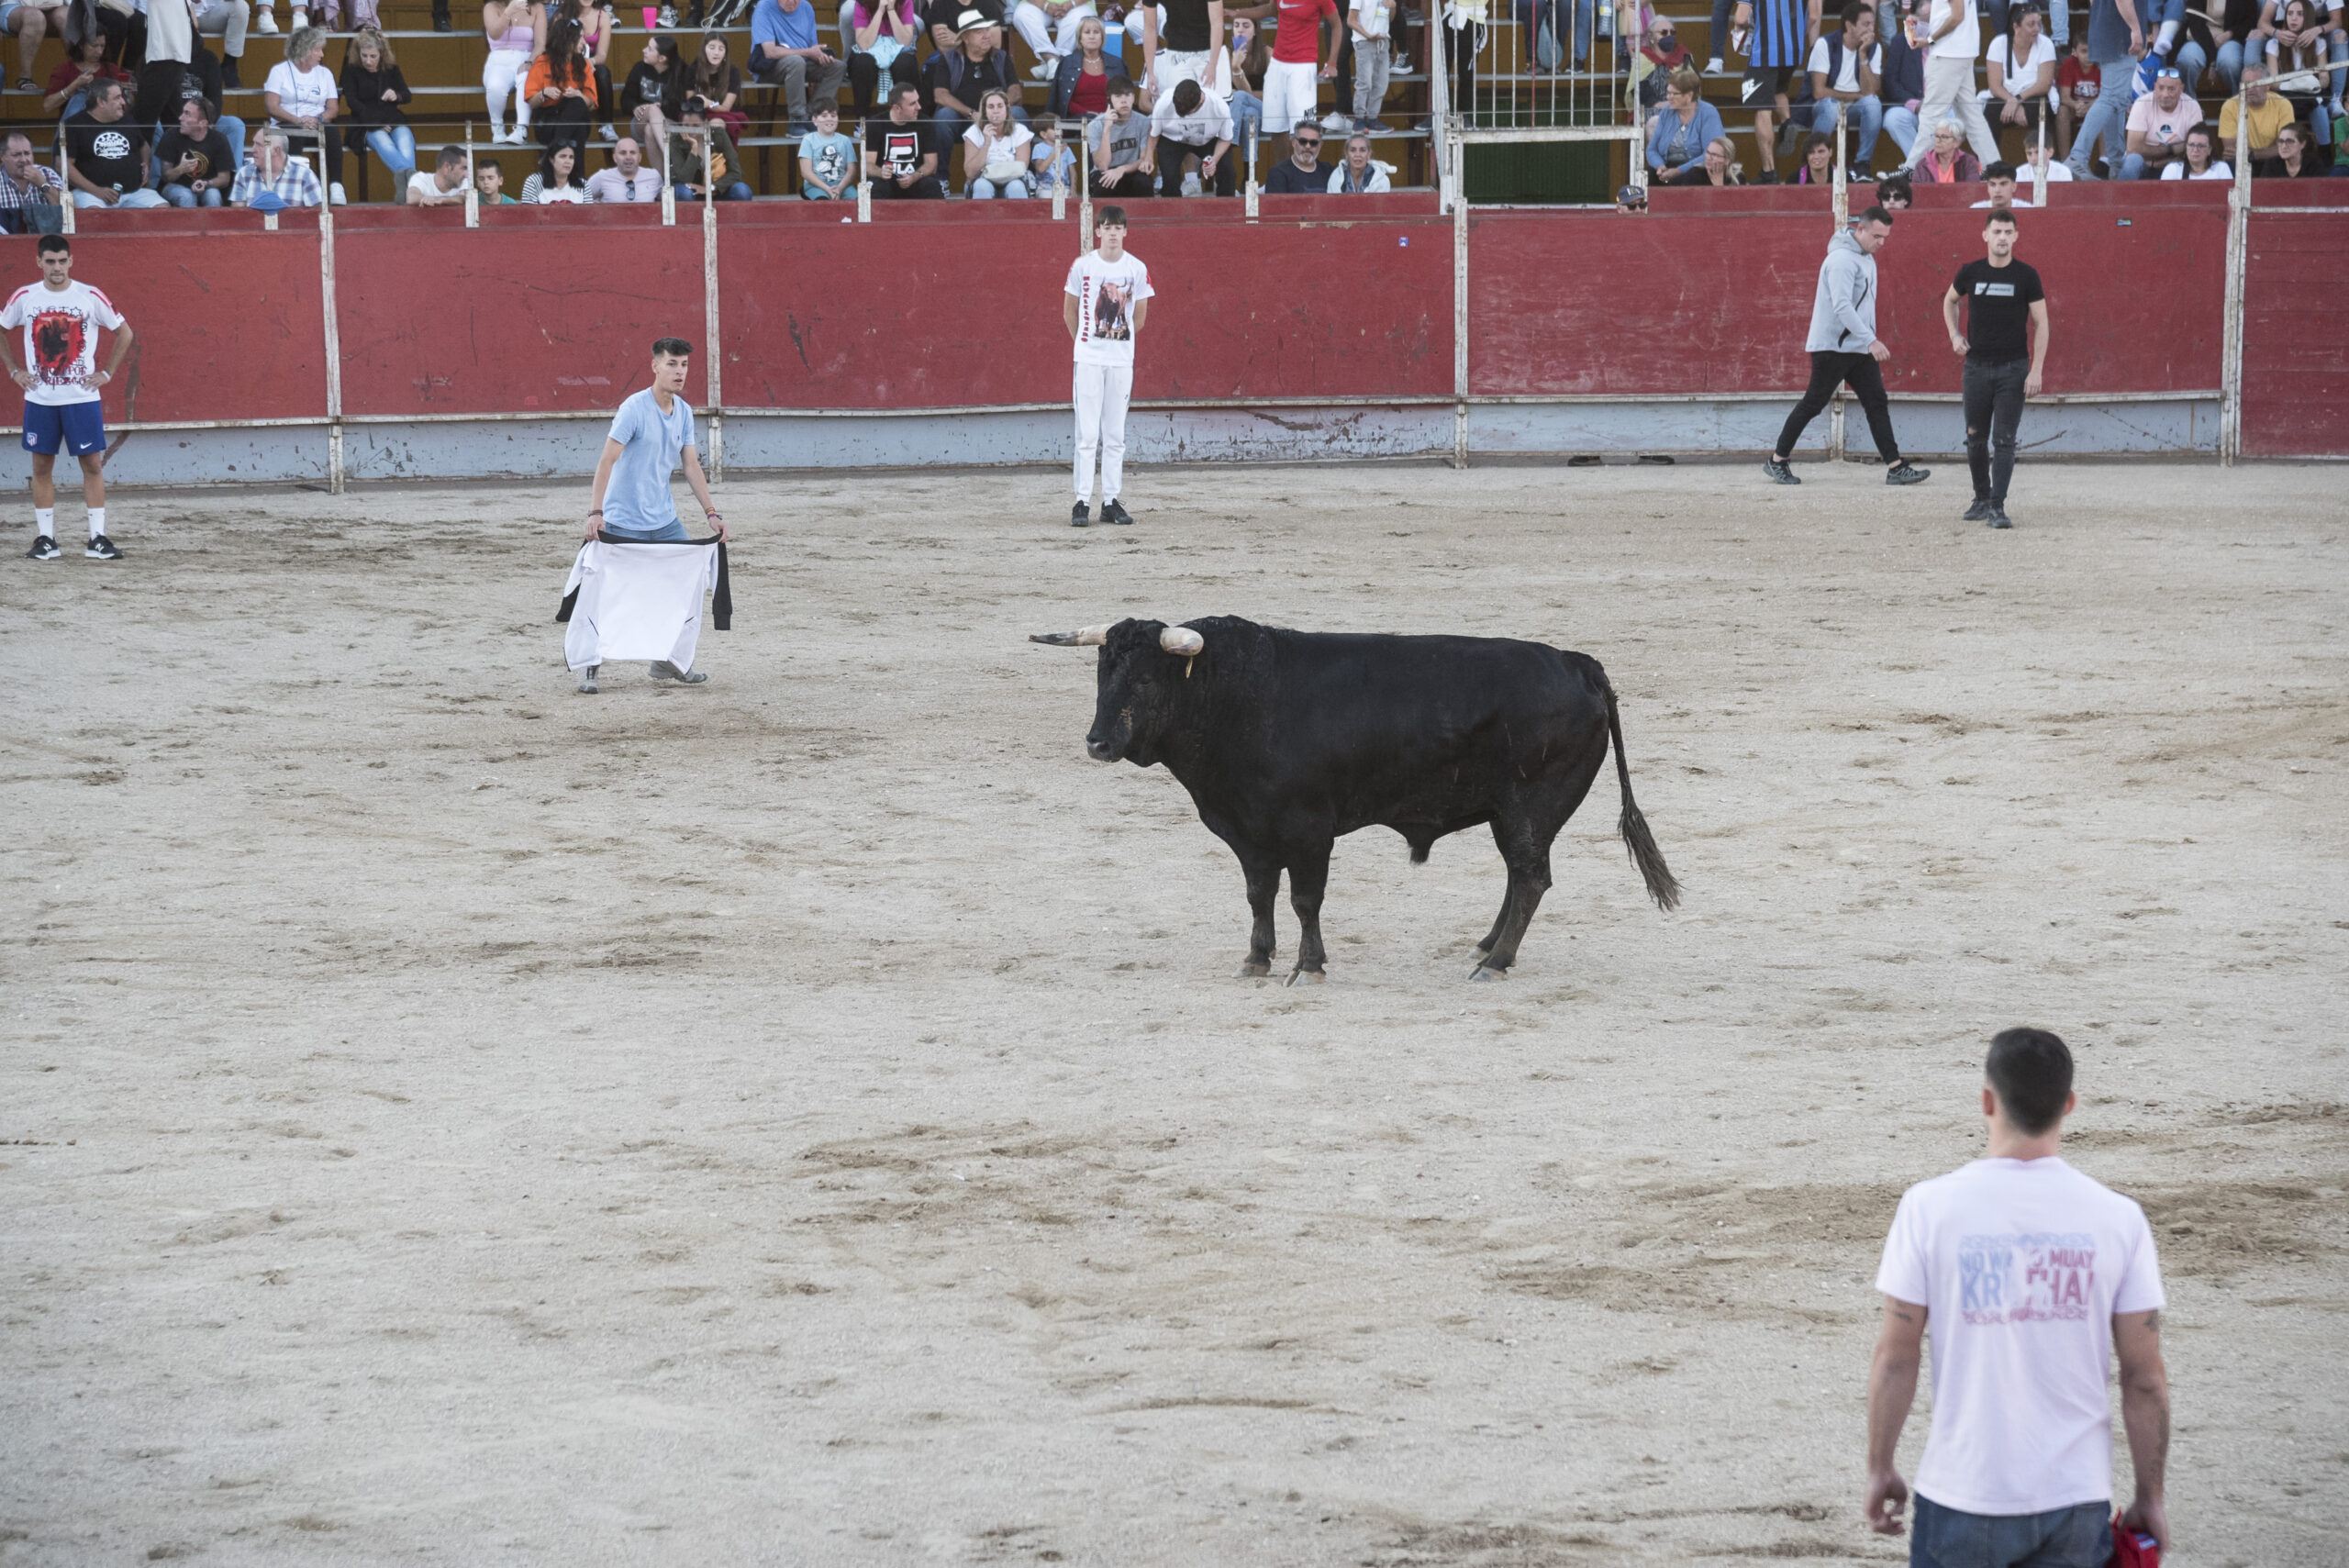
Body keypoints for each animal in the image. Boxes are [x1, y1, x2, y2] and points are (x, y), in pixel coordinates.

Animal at [1038, 615, 1681, 972]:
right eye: (1102, 673)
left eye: (1147, 677)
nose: (1097, 743)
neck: (1238, 697)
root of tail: (1579, 664)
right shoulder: (1248, 832)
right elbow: (1258, 895)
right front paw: (1257, 958)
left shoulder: (1308, 830)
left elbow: (1305, 900)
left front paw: (1307, 966)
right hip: (1511, 816)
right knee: (1519, 876)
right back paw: (1486, 946)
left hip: (1530, 811)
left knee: (1531, 879)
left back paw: (1496, 962)